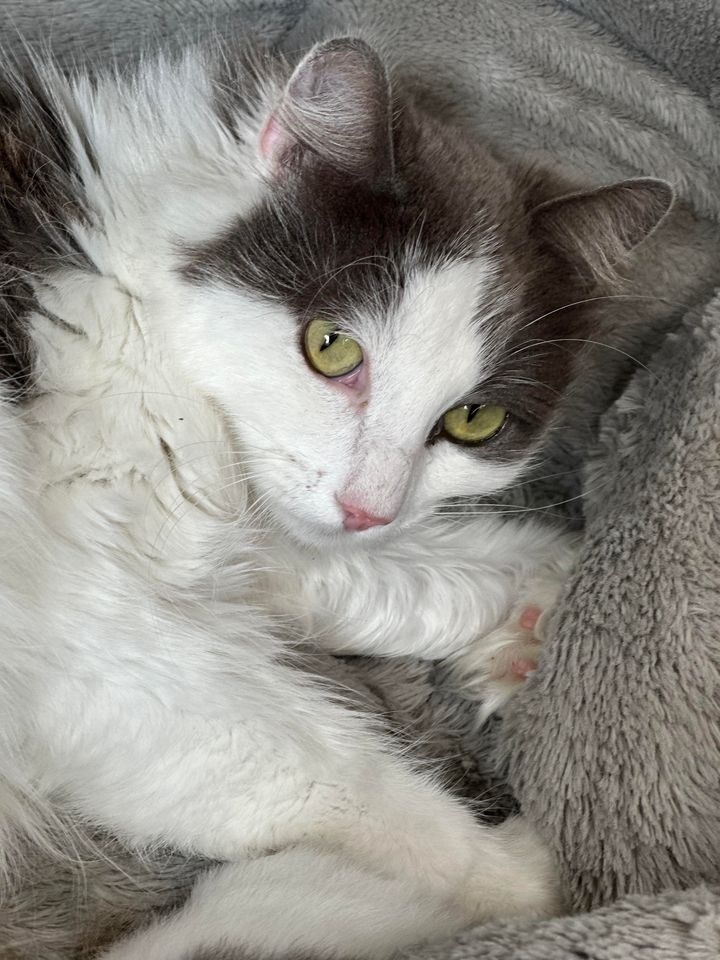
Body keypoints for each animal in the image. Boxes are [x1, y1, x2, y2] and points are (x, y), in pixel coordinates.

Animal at [0, 33, 672, 956]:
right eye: (331, 347)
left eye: (473, 419)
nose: (368, 506)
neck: (115, 294)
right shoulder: (88, 640)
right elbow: (335, 778)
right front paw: (525, 873)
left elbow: (340, 575)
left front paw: (532, 596)